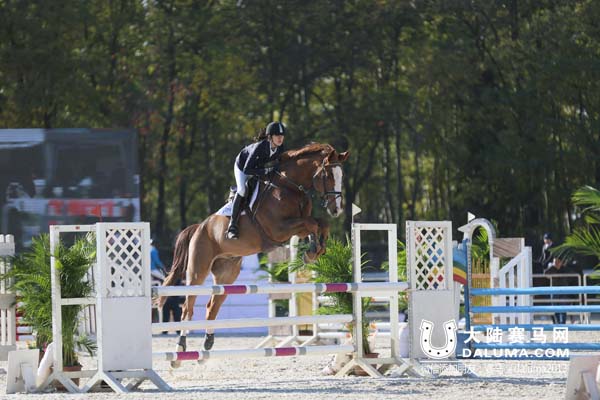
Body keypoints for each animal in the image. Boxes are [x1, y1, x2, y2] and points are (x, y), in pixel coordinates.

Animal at [160, 143, 349, 366]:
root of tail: (199, 227)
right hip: (197, 271)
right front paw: (313, 250)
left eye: (341, 175)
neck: (291, 187)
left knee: (211, 307)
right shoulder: (279, 229)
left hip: (227, 275)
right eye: (328, 174)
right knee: (187, 309)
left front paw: (315, 251)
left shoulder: (297, 224)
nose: (337, 209)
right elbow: (312, 223)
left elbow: (320, 223)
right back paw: (179, 352)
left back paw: (206, 346)